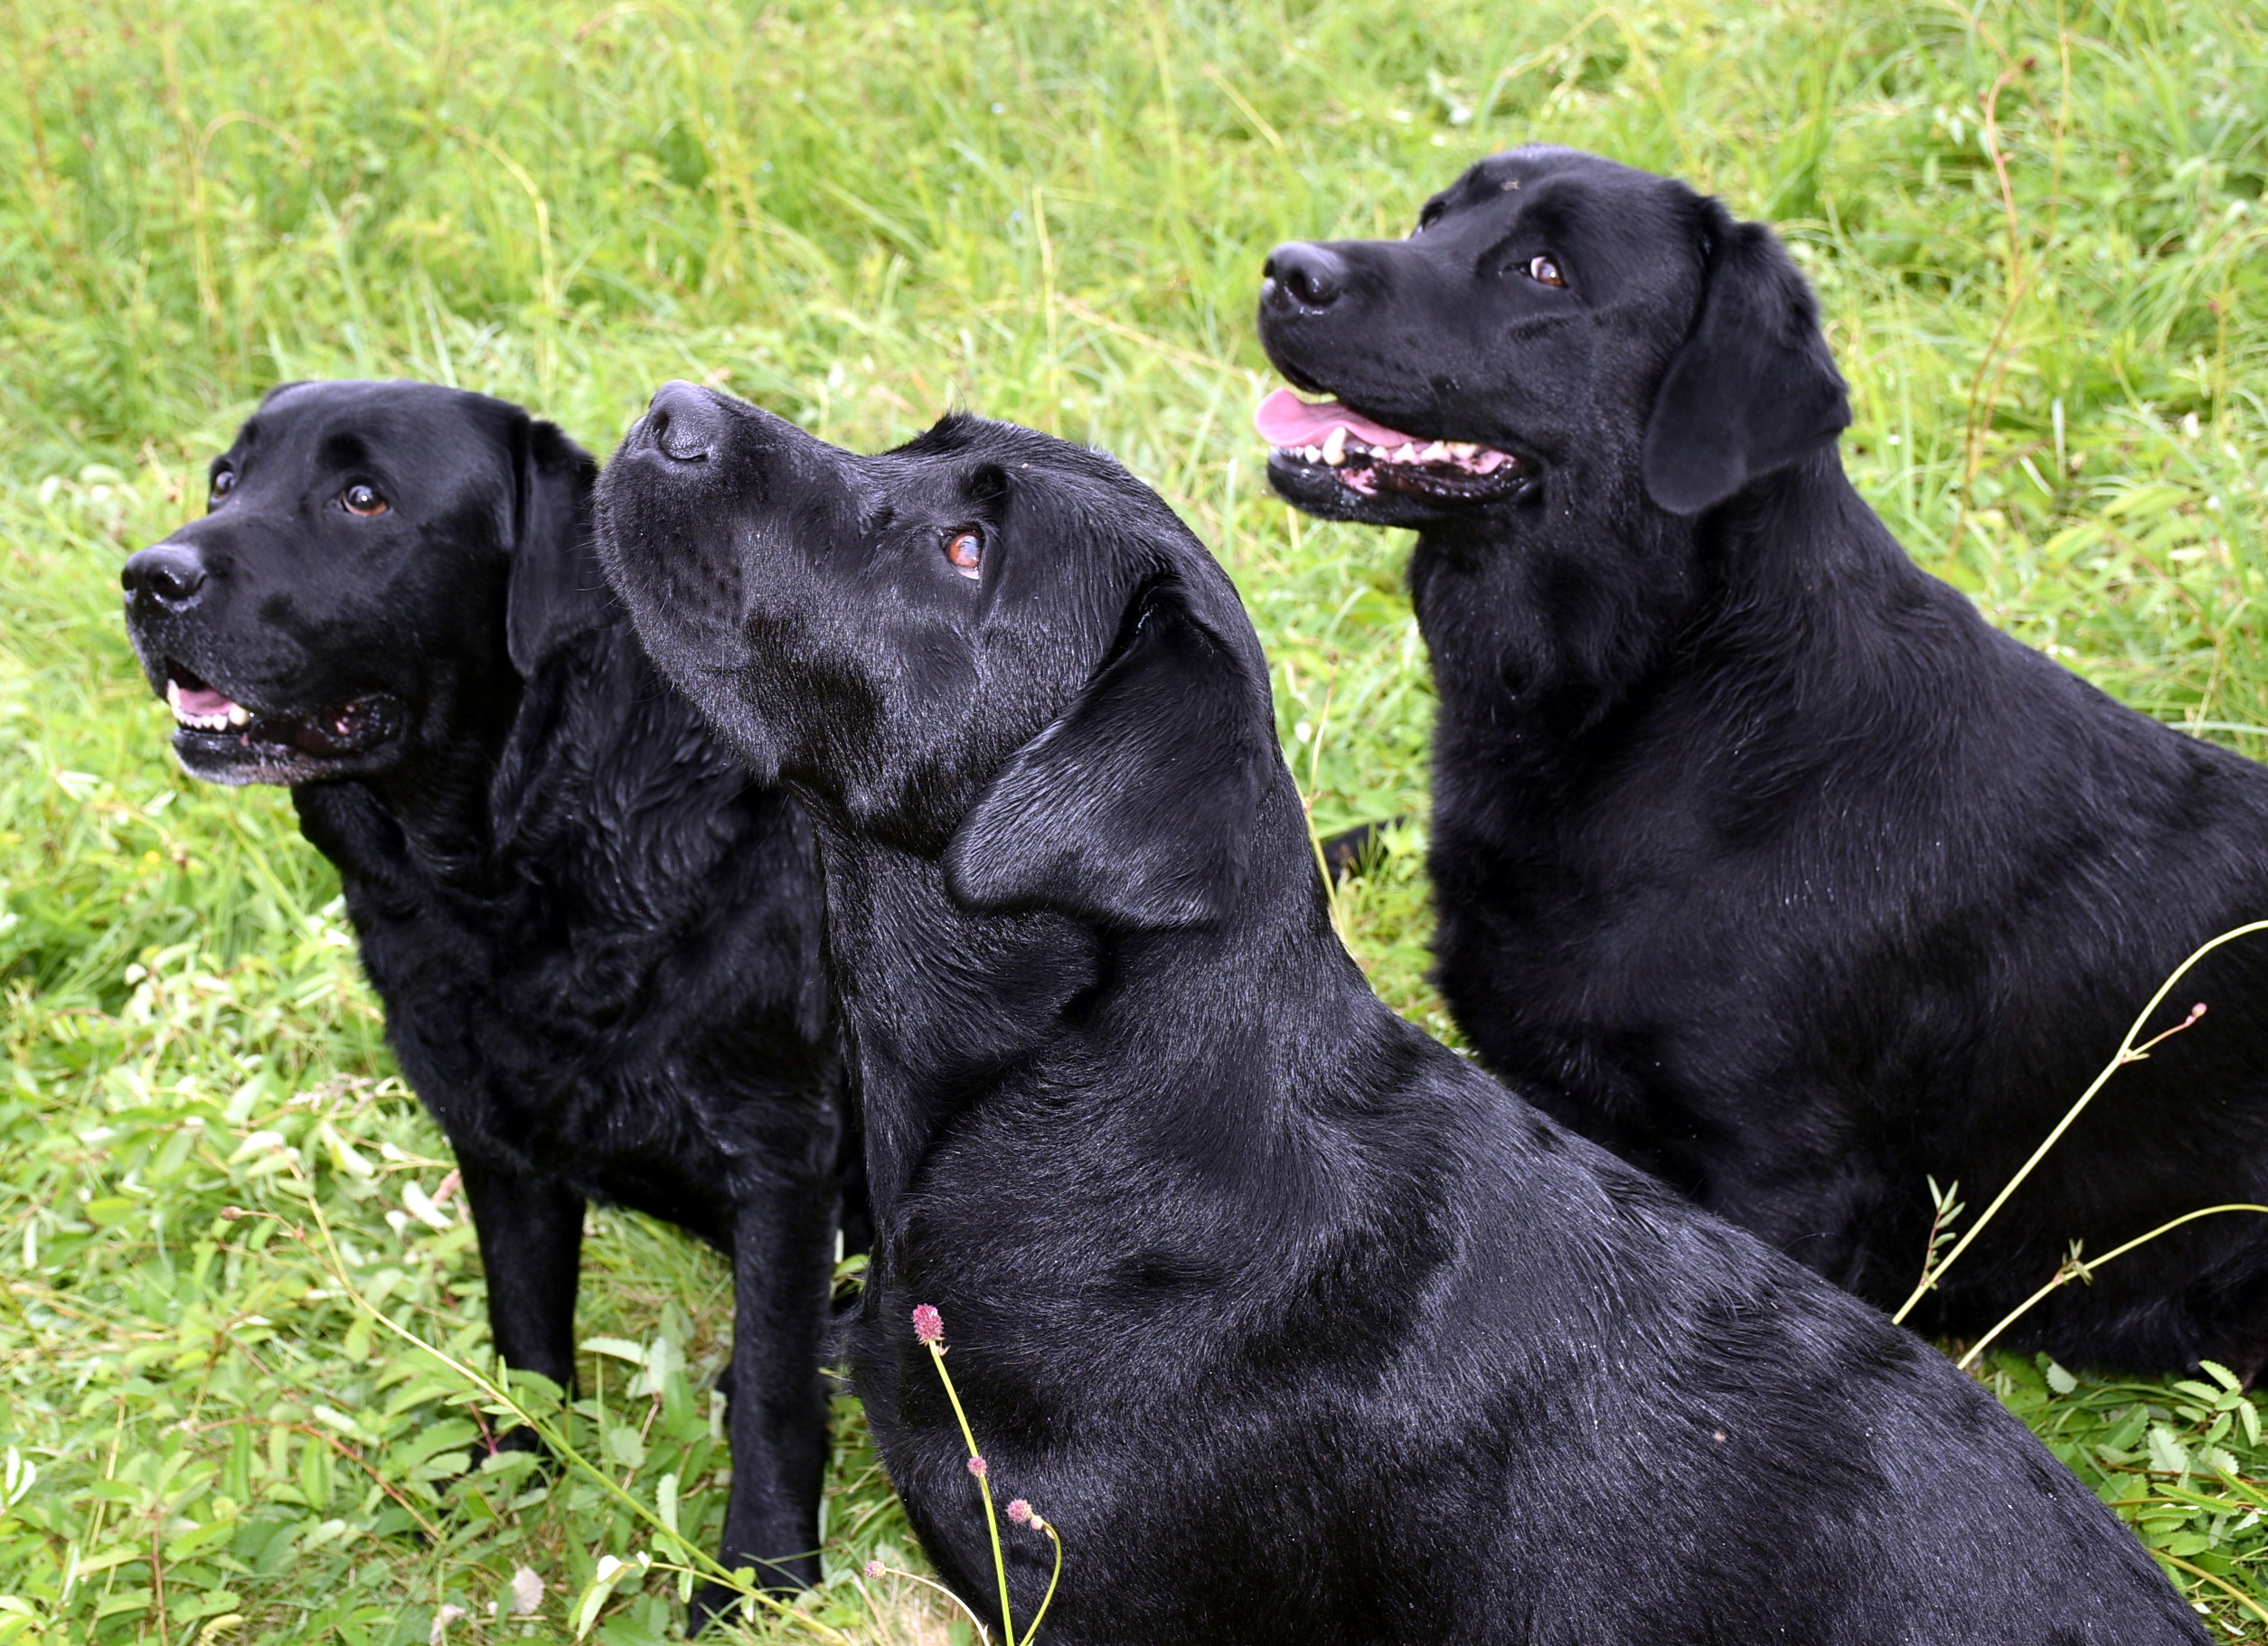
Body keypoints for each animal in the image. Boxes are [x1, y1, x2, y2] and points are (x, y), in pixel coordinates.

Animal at [124, 381, 852, 1632]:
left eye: (363, 497)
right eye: (225, 480)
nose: (145, 578)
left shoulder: (784, 1163)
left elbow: (771, 1398)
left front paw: (758, 1584)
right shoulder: (495, 1136)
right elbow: (525, 1331)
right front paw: (520, 1472)